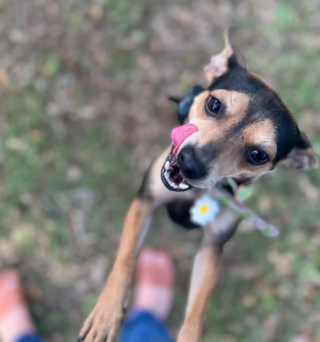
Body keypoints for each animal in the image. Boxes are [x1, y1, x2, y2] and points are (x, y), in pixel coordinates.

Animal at [79, 32, 318, 342]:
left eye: (258, 155)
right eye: (214, 104)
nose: (190, 163)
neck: (193, 194)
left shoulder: (213, 246)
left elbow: (198, 307)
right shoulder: (145, 200)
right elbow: (125, 258)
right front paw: (106, 314)